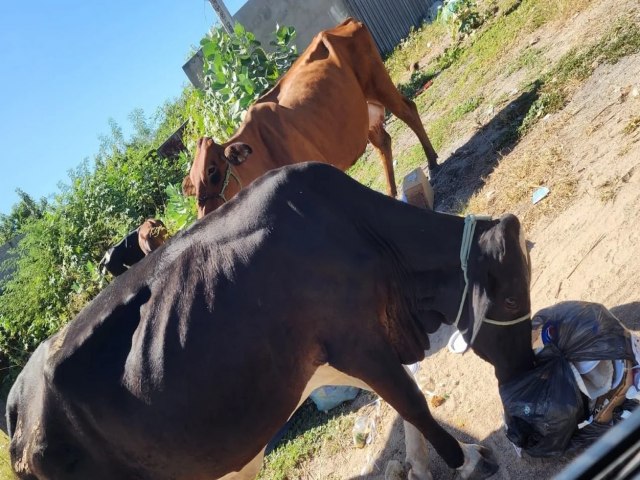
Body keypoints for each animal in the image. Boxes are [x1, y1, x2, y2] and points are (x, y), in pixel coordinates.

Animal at [6, 162, 536, 480]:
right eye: (511, 300)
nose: (525, 372)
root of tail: (16, 405)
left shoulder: (343, 356)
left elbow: (411, 404)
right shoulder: (360, 344)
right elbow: (416, 406)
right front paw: (468, 460)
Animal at [182, 18, 438, 218]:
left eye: (212, 170)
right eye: (193, 185)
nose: (205, 215)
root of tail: (344, 24)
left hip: (378, 84)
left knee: (409, 110)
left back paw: (432, 162)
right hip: (363, 111)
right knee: (383, 141)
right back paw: (392, 192)